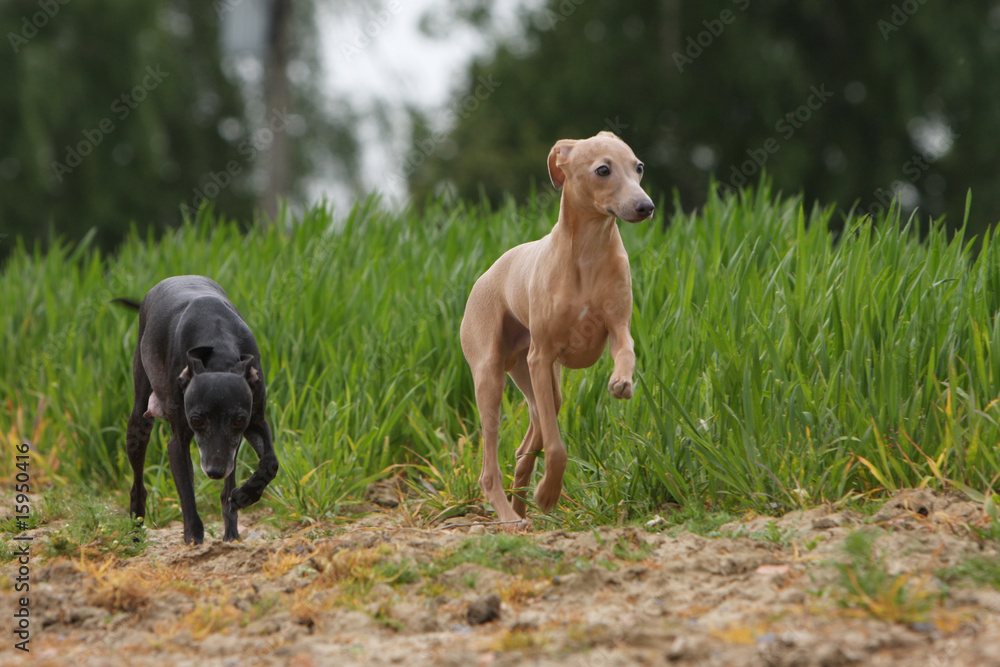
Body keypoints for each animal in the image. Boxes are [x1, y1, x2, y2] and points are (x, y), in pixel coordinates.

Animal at [119, 276, 280, 544]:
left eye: (239, 419)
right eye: (196, 419)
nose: (214, 471)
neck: (218, 342)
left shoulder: (256, 421)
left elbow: (270, 463)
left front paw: (244, 495)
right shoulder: (178, 442)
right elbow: (186, 491)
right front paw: (194, 537)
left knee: (227, 487)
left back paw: (231, 529)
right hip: (138, 423)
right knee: (138, 486)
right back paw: (135, 532)